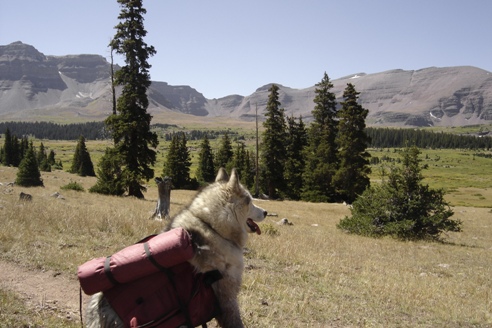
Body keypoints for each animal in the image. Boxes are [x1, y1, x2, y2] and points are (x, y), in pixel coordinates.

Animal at [86, 169, 268, 328]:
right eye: (250, 201)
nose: (266, 212)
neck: (212, 227)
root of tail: (97, 308)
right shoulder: (226, 296)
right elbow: (235, 322)